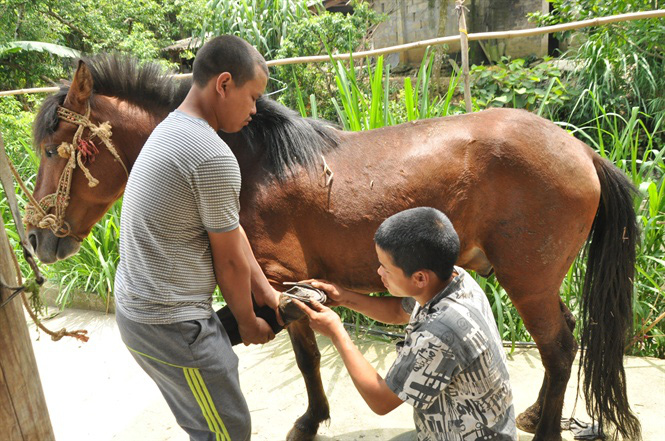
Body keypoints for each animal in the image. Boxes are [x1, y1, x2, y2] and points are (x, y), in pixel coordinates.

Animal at [28, 55, 640, 440]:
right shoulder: (289, 286)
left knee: (559, 346)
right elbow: (307, 354)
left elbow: (306, 353)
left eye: (56, 149)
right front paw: (313, 416)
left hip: (527, 280)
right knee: (566, 339)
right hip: (537, 281)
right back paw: (537, 413)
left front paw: (309, 421)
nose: (35, 238)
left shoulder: (277, 277)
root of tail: (580, 151)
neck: (247, 163)